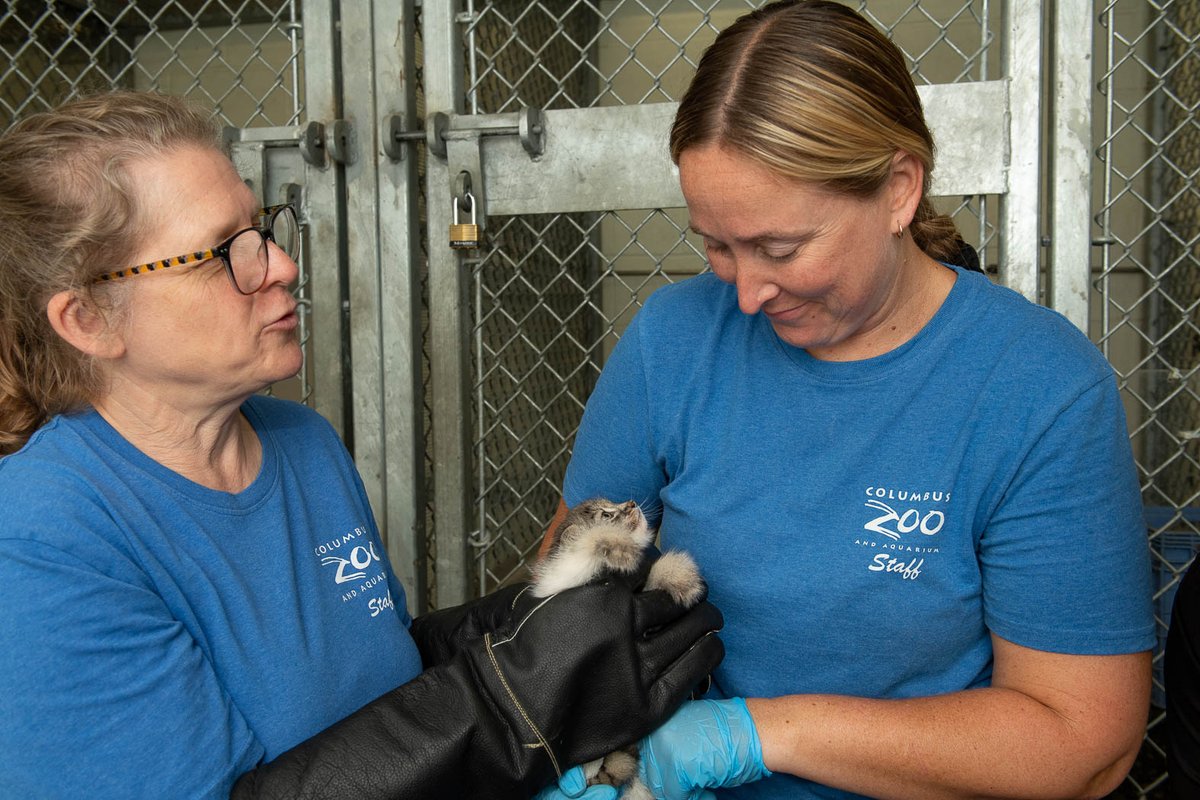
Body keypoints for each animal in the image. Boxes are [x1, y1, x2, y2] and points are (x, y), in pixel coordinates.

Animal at [532, 496, 705, 796]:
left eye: (612, 502)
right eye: (606, 514)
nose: (632, 503)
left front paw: (679, 575)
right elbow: (588, 547)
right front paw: (618, 547)